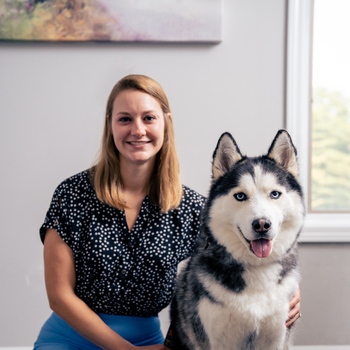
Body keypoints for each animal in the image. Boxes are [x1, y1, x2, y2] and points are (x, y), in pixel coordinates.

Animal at [170, 130, 304, 350]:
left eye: (275, 194)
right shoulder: (217, 339)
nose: (262, 224)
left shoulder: (276, 337)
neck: (257, 269)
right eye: (240, 196)